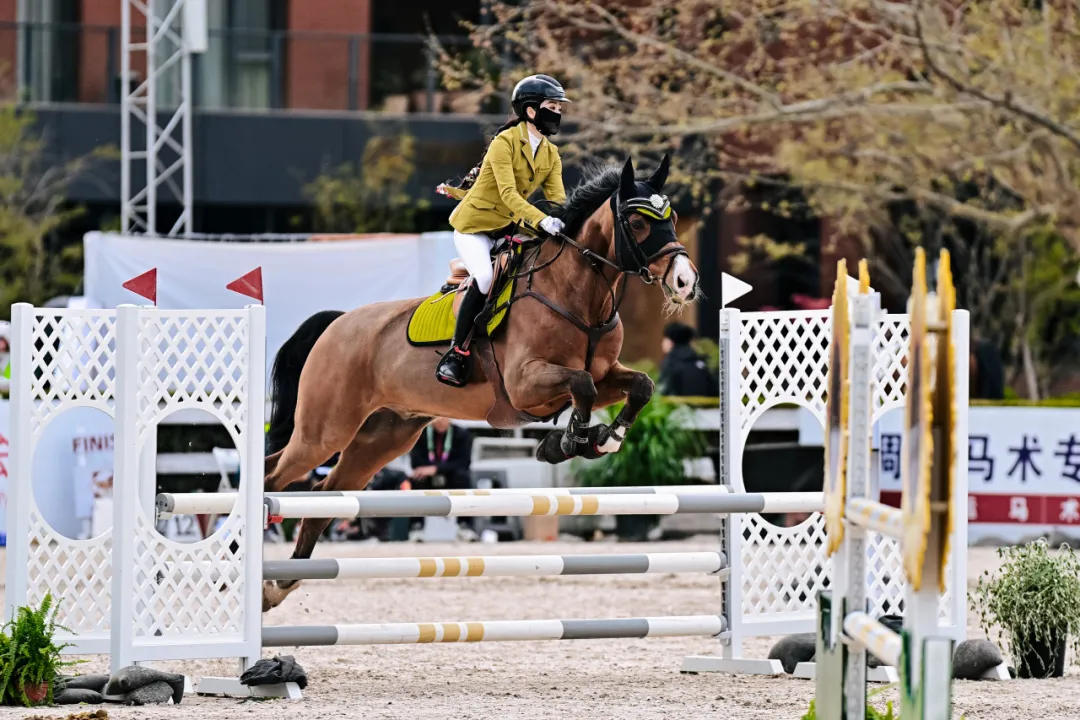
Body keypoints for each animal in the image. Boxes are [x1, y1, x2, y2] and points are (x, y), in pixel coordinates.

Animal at [261, 155, 700, 610]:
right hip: (325, 431)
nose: (686, 283)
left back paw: (276, 587)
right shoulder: (525, 384)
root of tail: (337, 322)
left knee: (323, 493)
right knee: (274, 478)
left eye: (673, 218)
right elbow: (581, 385)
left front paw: (605, 438)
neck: (577, 294)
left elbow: (640, 385)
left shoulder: (605, 375)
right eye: (638, 222)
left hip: (380, 439)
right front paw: (568, 442)